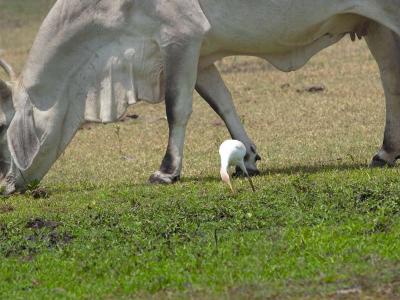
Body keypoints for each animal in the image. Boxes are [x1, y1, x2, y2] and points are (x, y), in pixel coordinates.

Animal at [0, 0, 400, 195]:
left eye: (3, 124)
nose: (3, 186)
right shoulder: (200, 54)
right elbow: (223, 103)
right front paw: (248, 156)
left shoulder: (180, 37)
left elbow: (176, 109)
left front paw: (166, 171)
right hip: (377, 27)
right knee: (390, 81)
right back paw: (386, 151)